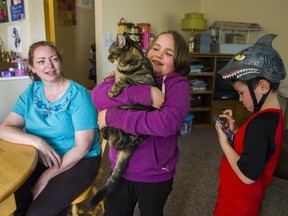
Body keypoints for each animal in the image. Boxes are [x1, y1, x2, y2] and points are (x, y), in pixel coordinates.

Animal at [90, 32, 158, 208]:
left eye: (111, 52)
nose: (107, 58)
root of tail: (133, 145)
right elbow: (115, 75)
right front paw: (108, 74)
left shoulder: (144, 81)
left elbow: (124, 80)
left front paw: (114, 88)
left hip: (122, 124)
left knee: (111, 138)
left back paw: (102, 124)